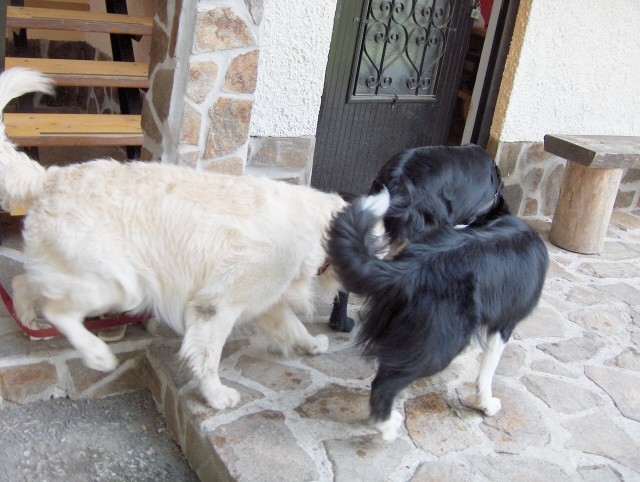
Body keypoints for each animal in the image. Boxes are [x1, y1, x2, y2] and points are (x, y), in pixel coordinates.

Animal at [0, 67, 348, 406]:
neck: (315, 226)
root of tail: (50, 177)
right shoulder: (217, 305)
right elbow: (208, 356)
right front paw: (216, 395)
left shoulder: (266, 300)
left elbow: (293, 325)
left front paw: (312, 344)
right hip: (114, 282)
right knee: (58, 309)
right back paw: (96, 354)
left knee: (23, 283)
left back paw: (29, 322)